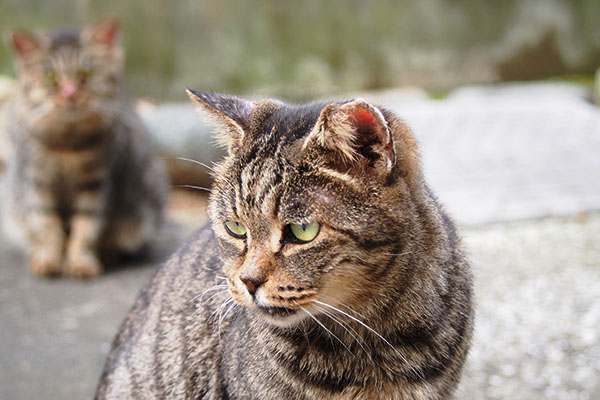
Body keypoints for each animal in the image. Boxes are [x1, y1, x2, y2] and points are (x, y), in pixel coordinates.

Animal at [0, 17, 169, 276]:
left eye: (87, 72)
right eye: (50, 75)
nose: (70, 93)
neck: (67, 146)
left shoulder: (97, 183)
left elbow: (86, 226)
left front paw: (81, 261)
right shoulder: (37, 181)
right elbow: (47, 225)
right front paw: (49, 259)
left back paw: (108, 256)